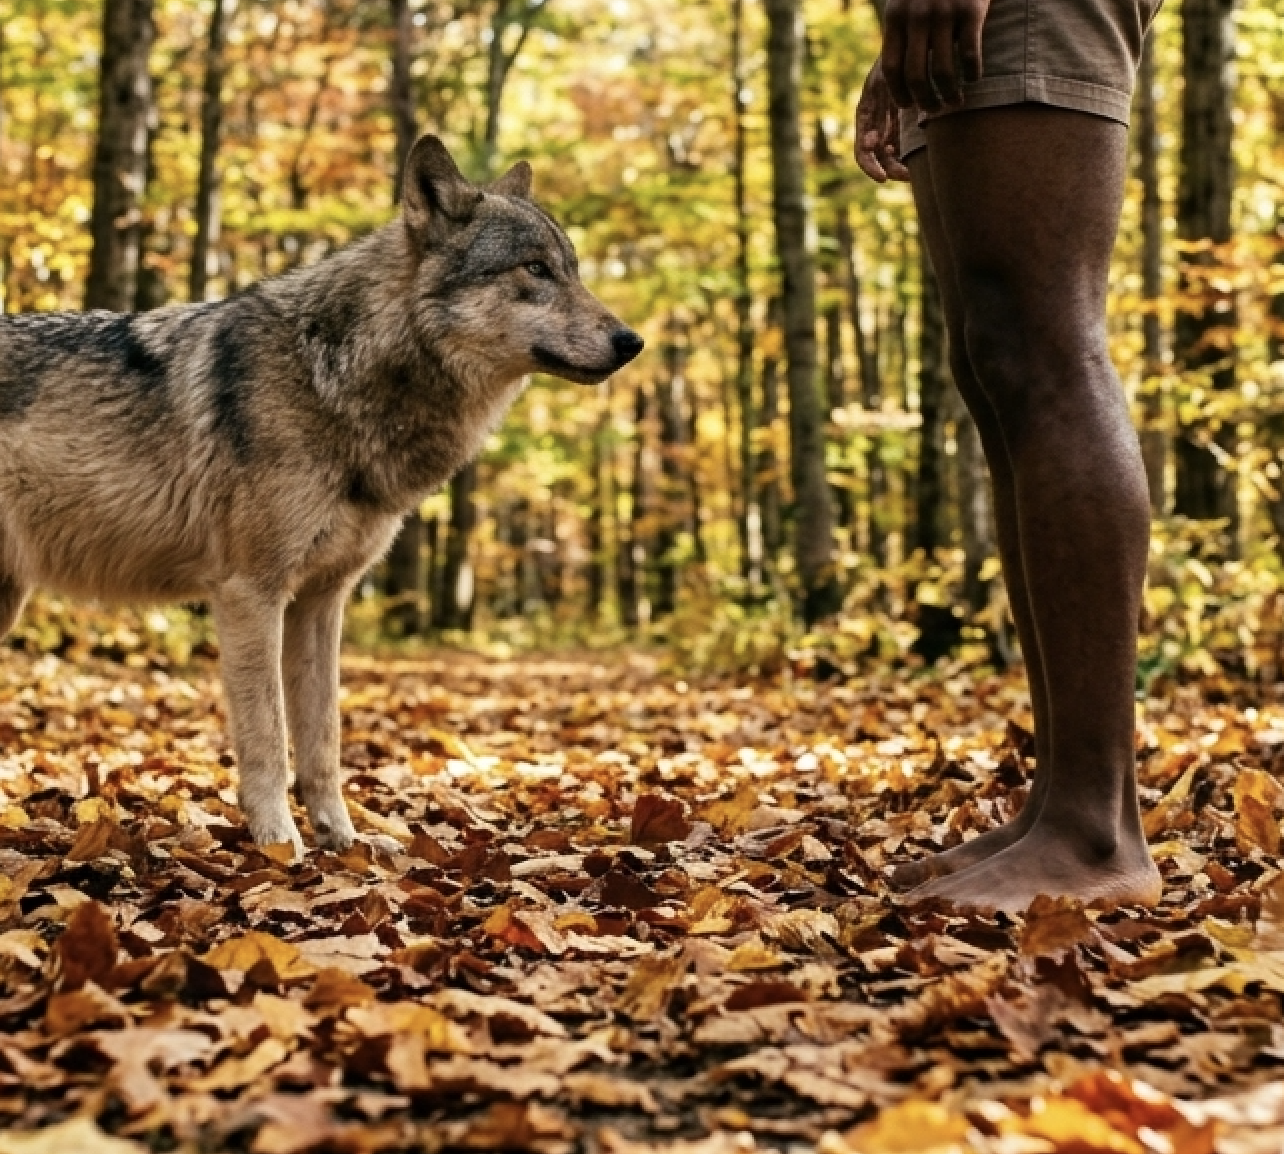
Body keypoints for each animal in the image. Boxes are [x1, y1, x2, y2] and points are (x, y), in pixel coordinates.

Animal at [0, 135, 644, 858]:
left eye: (575, 270)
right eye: (536, 268)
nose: (632, 341)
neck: (332, 377)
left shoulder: (320, 600)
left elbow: (324, 739)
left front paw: (345, 839)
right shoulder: (250, 594)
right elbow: (268, 738)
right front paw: (280, 845)